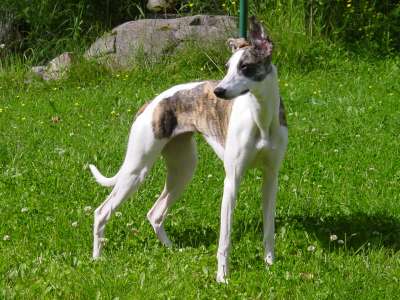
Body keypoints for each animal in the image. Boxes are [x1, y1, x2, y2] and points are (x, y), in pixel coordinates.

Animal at [89, 17, 288, 282]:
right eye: (227, 67)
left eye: (245, 67)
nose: (218, 92)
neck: (261, 119)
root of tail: (150, 103)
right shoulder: (232, 180)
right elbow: (225, 240)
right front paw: (222, 277)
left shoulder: (271, 178)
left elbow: (269, 229)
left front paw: (270, 264)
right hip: (136, 171)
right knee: (101, 211)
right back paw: (97, 258)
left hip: (183, 170)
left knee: (155, 213)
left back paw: (172, 249)